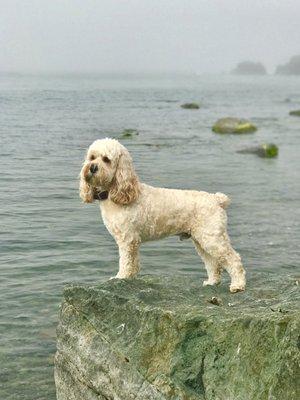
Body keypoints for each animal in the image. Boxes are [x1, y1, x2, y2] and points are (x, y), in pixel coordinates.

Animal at [79, 139, 246, 292]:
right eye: (92, 157)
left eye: (106, 159)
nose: (92, 167)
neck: (116, 193)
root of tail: (217, 199)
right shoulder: (133, 242)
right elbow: (134, 263)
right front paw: (130, 277)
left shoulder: (127, 240)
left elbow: (125, 262)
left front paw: (121, 277)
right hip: (202, 240)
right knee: (213, 263)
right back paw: (212, 282)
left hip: (213, 239)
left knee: (234, 259)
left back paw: (238, 285)